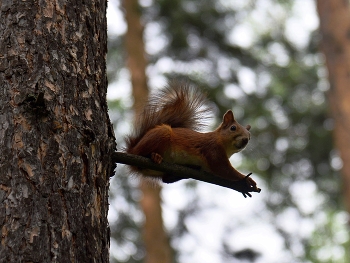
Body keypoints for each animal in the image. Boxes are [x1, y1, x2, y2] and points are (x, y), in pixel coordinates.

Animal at [126, 81, 260, 197]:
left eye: (249, 136)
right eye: (233, 128)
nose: (245, 140)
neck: (223, 145)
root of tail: (132, 149)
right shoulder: (213, 150)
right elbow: (223, 169)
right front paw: (247, 180)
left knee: (165, 179)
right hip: (160, 134)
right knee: (140, 153)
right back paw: (154, 156)